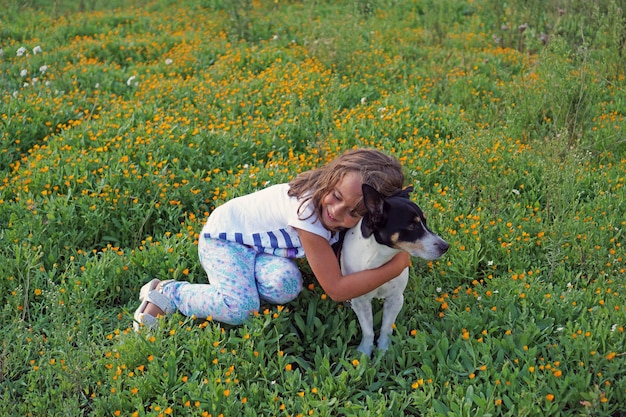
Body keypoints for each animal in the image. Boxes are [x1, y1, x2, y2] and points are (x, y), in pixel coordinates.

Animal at [338, 184, 446, 356]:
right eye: (412, 226)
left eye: (425, 221)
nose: (445, 246)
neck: (378, 258)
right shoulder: (360, 302)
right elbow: (368, 331)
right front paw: (365, 353)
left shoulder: (395, 298)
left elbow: (386, 328)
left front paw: (383, 351)